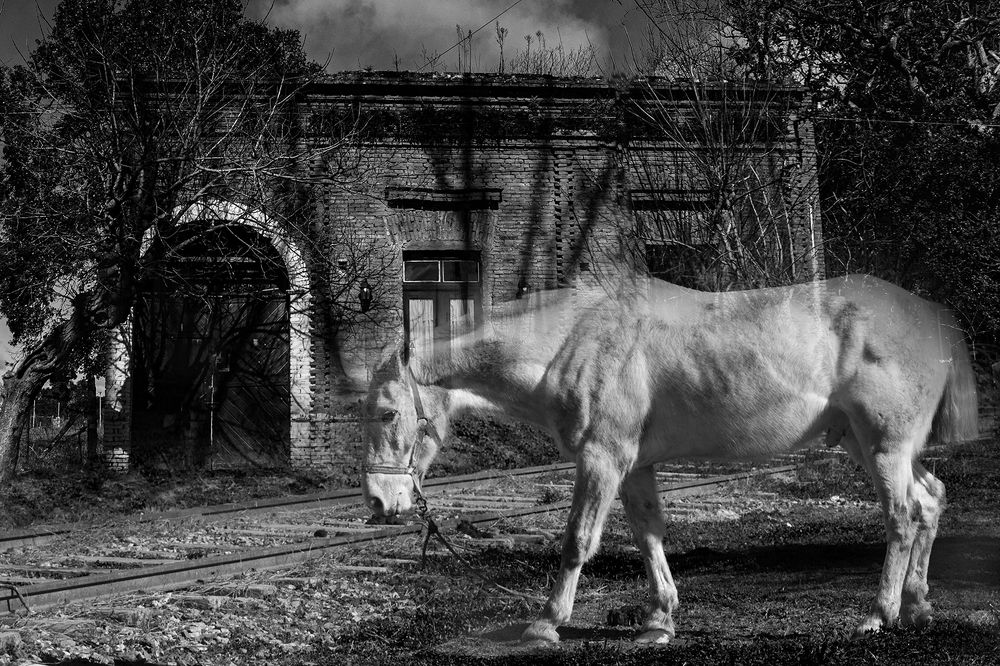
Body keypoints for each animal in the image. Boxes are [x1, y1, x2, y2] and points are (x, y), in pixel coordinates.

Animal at [360, 274, 978, 644]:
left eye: (388, 413)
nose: (379, 501)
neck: (574, 340)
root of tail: (933, 315)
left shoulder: (603, 457)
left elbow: (578, 540)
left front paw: (547, 621)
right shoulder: (634, 466)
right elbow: (649, 535)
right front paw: (658, 620)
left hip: (883, 446)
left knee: (901, 517)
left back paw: (880, 613)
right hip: (864, 442)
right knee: (930, 500)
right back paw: (917, 605)